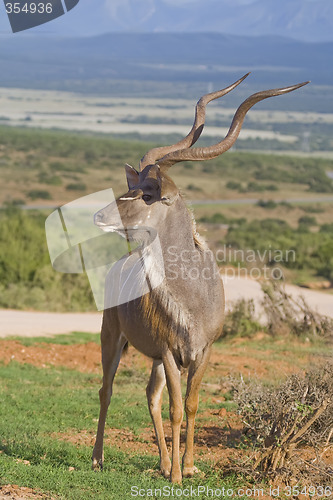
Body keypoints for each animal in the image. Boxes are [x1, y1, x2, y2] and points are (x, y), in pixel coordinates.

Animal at [92, 74, 308, 480]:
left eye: (147, 194)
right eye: (132, 187)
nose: (99, 215)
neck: (192, 297)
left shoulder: (202, 351)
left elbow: (191, 404)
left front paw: (188, 467)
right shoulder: (169, 351)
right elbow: (177, 408)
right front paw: (178, 474)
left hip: (154, 359)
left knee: (150, 395)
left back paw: (163, 462)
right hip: (112, 337)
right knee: (107, 390)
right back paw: (99, 459)